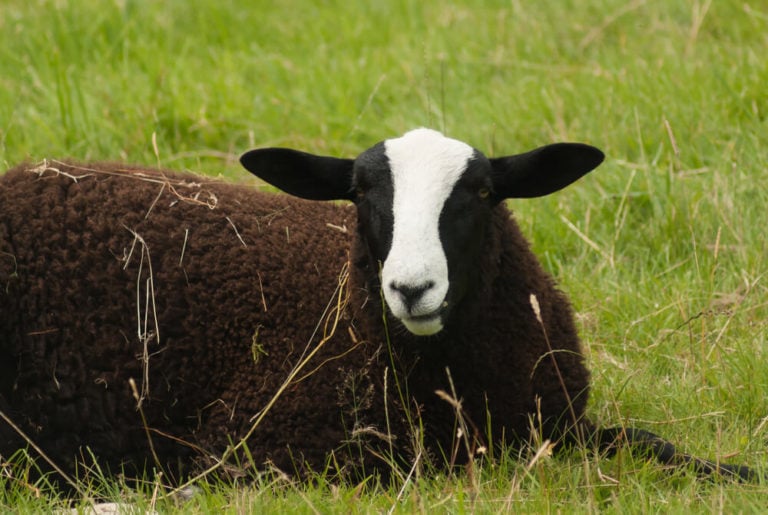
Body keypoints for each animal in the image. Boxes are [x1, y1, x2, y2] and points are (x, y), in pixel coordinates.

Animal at [0, 129, 753, 489]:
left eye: (482, 191)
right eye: (360, 193)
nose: (411, 288)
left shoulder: (557, 423)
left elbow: (651, 443)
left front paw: (736, 474)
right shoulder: (263, 445)